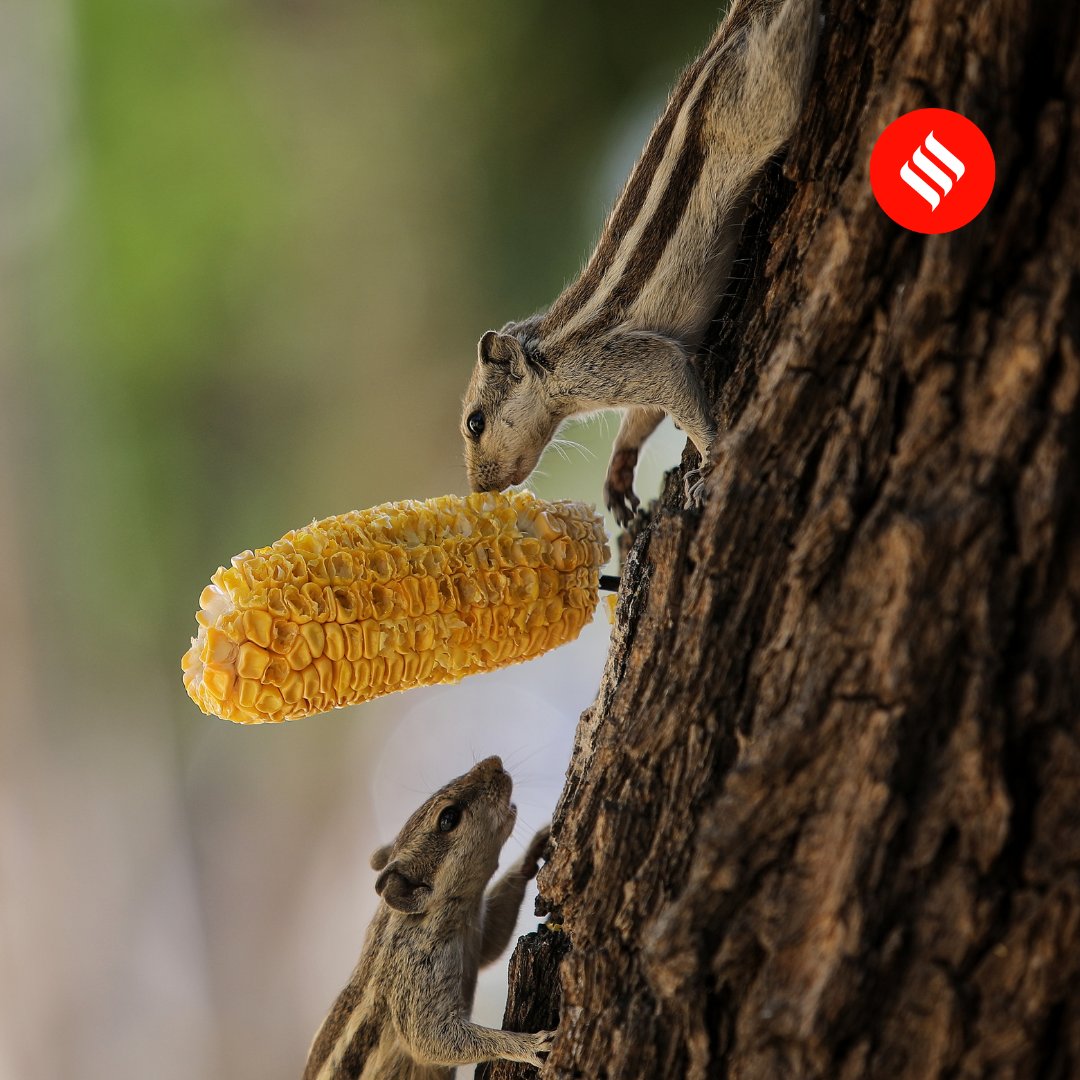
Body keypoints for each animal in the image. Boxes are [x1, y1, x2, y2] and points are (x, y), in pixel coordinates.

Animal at [302, 756, 555, 1079]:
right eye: (448, 818)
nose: (494, 762)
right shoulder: (413, 980)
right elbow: (430, 1038)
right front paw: (527, 1044)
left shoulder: (477, 935)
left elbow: (494, 940)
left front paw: (534, 849)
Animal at [461, 0, 821, 524]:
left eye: (475, 422)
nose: (479, 489)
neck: (550, 359)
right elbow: (642, 417)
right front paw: (618, 473)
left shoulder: (619, 363)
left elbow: (673, 391)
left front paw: (709, 459)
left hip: (762, 103)